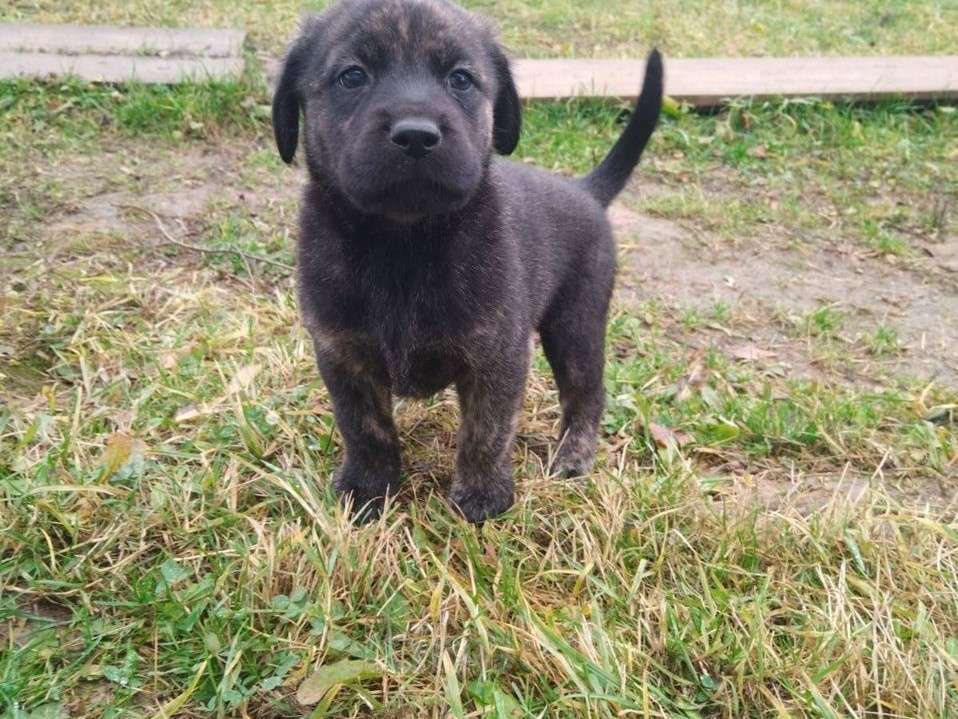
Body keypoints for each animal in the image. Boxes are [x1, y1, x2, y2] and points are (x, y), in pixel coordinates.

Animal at [270, 0, 660, 524]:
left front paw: (481, 495)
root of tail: (584, 191)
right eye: (352, 76)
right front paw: (369, 488)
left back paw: (574, 456)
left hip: (575, 325)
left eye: (460, 79)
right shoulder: (342, 354)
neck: (403, 244)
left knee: (586, 394)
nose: (416, 136)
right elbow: (365, 428)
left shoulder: (497, 357)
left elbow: (485, 432)